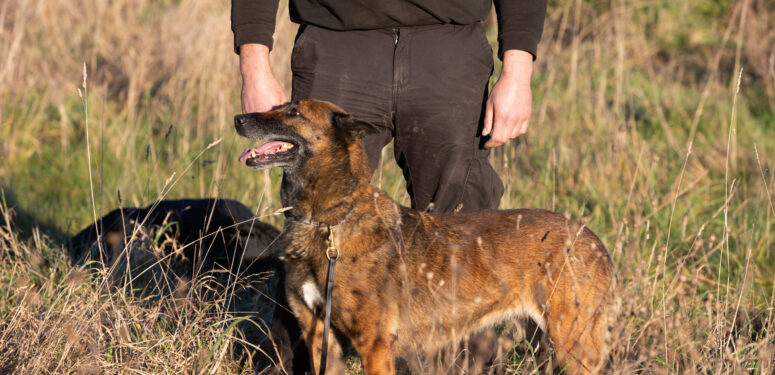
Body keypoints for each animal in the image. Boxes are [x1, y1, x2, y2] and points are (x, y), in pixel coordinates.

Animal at [235, 100, 620, 375]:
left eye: (293, 111)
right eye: (276, 105)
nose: (238, 118)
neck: (327, 221)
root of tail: (592, 239)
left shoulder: (374, 345)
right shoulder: (321, 338)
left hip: (572, 343)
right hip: (543, 341)